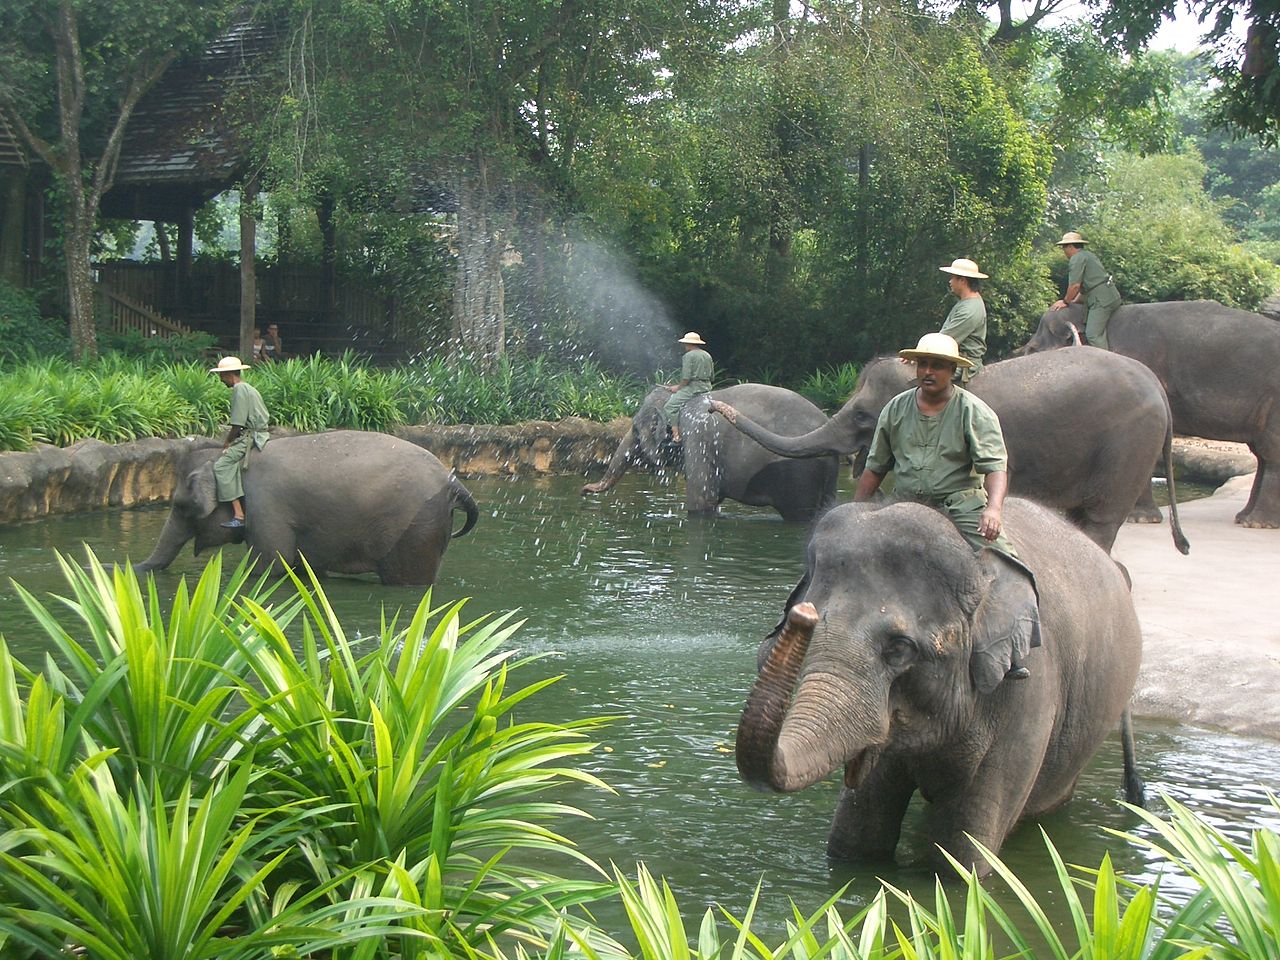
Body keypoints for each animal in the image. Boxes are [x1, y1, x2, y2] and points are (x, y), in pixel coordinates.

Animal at [133, 430, 481, 583]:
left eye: (182, 506)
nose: (125, 567)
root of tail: (454, 483)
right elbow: (303, 566)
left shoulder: (266, 507)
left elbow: (272, 563)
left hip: (413, 527)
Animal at [1018, 300, 1280, 529]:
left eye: (1033, 350)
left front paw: (1139, 519)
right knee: (1262, 455)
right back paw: (1245, 517)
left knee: (1270, 454)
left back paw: (1257, 523)